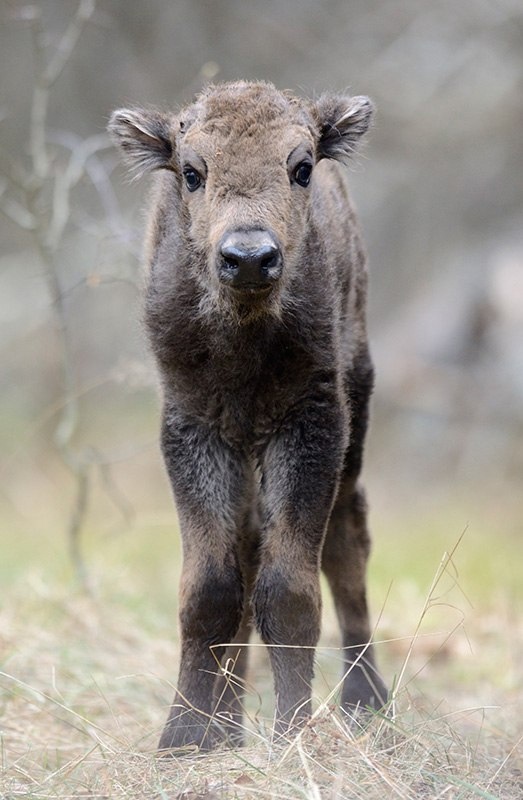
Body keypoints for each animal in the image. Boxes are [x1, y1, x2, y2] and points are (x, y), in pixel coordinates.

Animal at [109, 79, 388, 752]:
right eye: (192, 171)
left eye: (301, 167)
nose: (250, 257)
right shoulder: (193, 428)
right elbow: (209, 591)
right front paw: (184, 737)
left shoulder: (314, 423)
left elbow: (290, 591)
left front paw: (292, 734)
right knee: (248, 551)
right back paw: (228, 726)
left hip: (356, 420)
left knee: (347, 546)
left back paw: (366, 703)